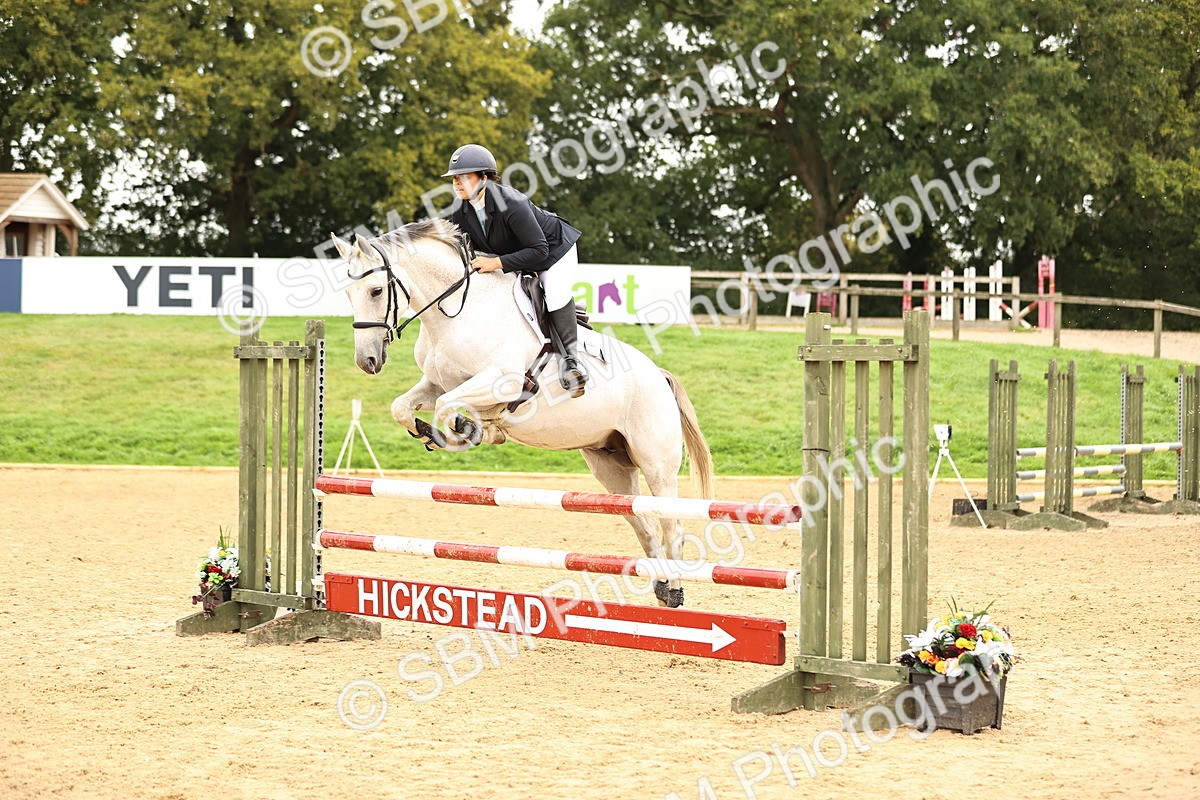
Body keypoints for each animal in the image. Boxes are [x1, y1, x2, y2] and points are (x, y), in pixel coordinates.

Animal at [331, 219, 714, 607]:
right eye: (348, 294)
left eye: (376, 290)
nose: (367, 360)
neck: (456, 314)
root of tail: (661, 377)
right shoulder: (437, 383)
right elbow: (405, 407)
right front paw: (445, 429)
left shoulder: (503, 381)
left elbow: (448, 407)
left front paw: (470, 429)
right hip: (610, 467)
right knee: (643, 524)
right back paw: (662, 587)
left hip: (657, 464)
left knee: (671, 524)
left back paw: (675, 590)